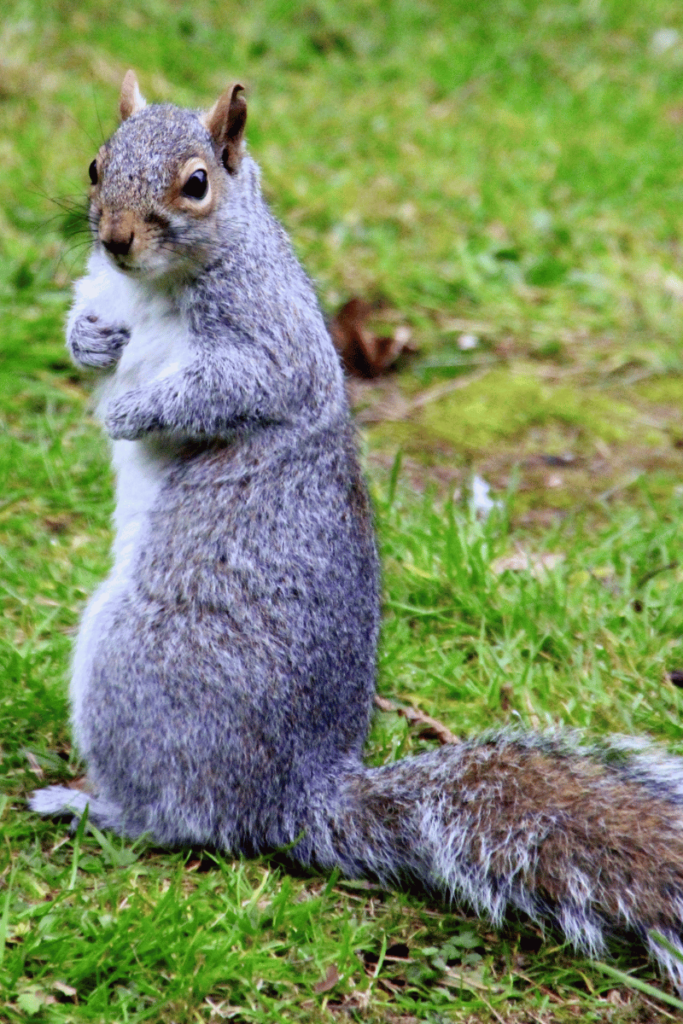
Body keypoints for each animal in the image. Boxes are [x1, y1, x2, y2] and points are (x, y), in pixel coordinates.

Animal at [30, 71, 683, 991]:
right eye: (95, 165)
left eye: (196, 183)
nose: (116, 238)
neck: (155, 284)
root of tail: (293, 798)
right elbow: (87, 326)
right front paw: (90, 342)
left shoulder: (271, 346)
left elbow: (226, 390)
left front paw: (128, 412)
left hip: (142, 660)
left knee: (175, 818)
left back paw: (91, 805)